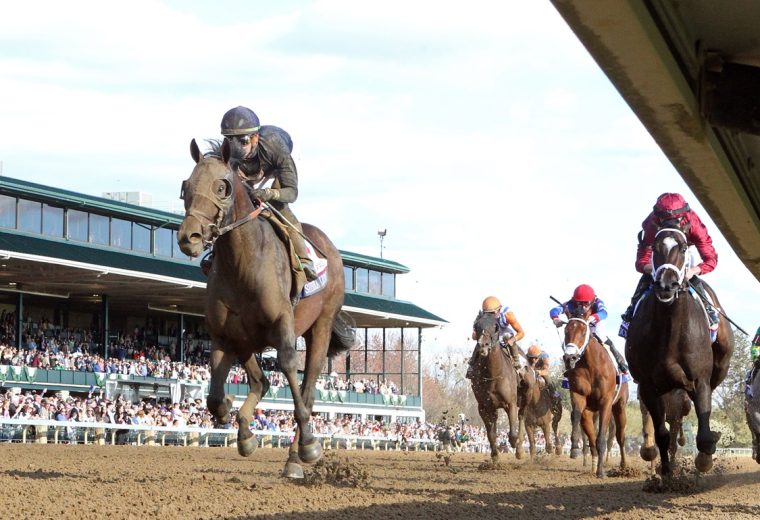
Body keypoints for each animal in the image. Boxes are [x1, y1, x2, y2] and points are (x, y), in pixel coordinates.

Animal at [178, 139, 356, 480]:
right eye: (186, 187)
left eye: (222, 186)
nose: (188, 237)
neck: (242, 265)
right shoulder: (224, 336)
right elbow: (215, 397)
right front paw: (236, 423)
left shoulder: (282, 326)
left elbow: (287, 366)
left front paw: (309, 445)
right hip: (247, 339)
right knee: (261, 381)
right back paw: (247, 433)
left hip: (321, 326)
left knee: (307, 391)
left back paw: (296, 459)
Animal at [470, 310, 524, 466]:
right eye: (477, 326)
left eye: (495, 327)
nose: (483, 345)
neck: (493, 375)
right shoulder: (484, 407)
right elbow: (491, 434)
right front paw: (494, 457)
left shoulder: (511, 403)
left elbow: (513, 434)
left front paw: (513, 444)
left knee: (522, 418)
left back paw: (519, 450)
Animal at [560, 314, 628, 478]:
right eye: (566, 331)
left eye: (584, 331)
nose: (570, 358)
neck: (590, 365)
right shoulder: (578, 395)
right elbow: (575, 415)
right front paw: (574, 447)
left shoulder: (606, 402)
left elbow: (602, 438)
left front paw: (601, 472)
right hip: (590, 411)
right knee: (591, 437)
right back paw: (593, 463)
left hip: (619, 407)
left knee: (620, 436)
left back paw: (623, 465)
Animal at [624, 222, 736, 476]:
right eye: (655, 246)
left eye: (684, 247)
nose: (667, 285)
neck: (671, 332)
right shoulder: (649, 387)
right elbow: (662, 435)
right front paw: (665, 473)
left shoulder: (700, 381)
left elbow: (703, 436)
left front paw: (704, 459)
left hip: (721, 363)